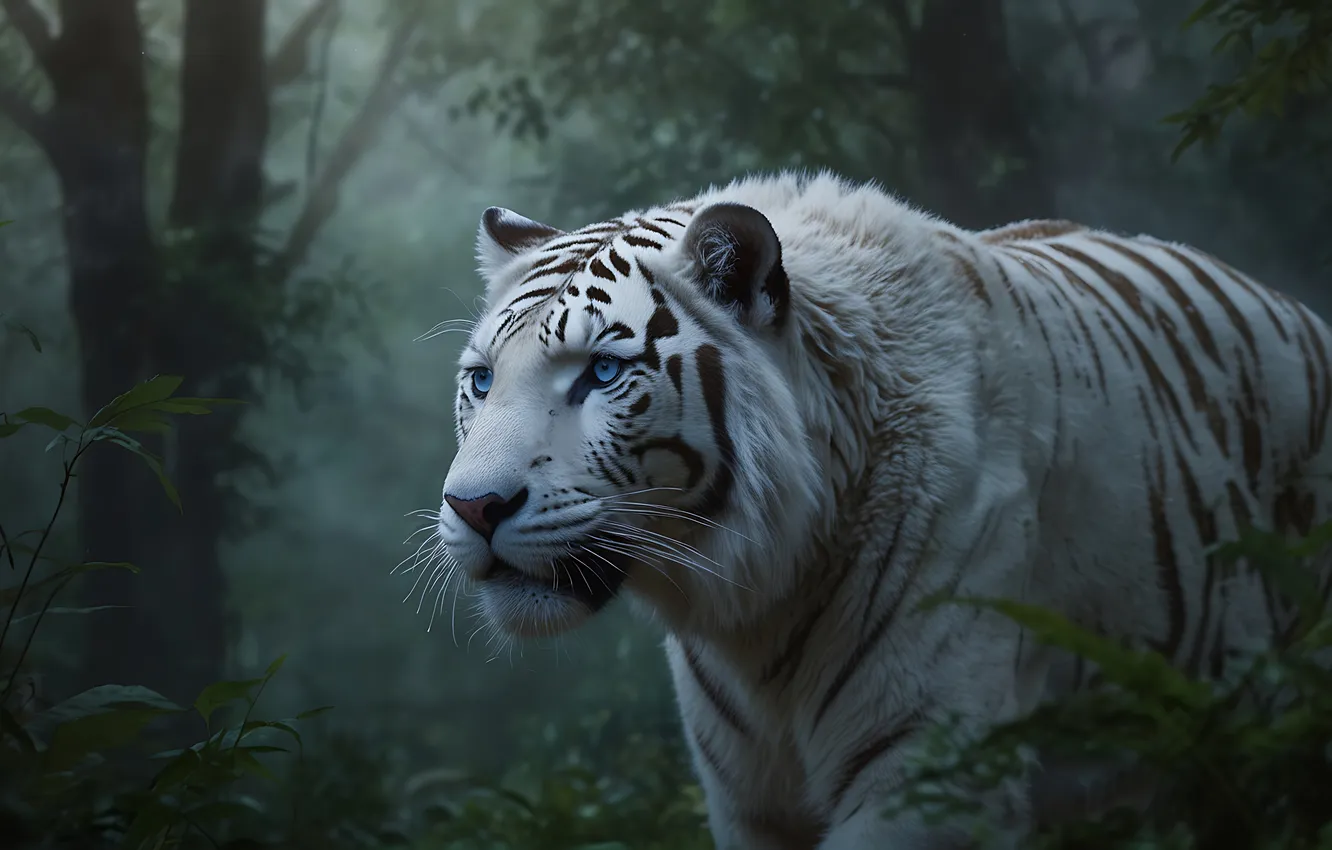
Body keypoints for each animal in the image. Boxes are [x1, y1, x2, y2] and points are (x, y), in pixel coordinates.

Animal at [432, 170, 1332, 849]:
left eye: (604, 374)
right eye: (482, 381)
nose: (474, 507)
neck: (756, 606)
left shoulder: (928, 774)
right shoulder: (749, 801)